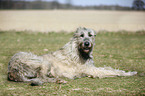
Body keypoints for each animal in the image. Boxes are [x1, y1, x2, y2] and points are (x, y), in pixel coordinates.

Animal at [7, 27, 137, 85]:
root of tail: (12, 70)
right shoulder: (92, 70)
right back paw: (59, 80)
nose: (86, 43)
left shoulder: (91, 68)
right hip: (42, 62)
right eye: (81, 35)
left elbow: (108, 68)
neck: (78, 50)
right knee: (41, 77)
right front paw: (129, 73)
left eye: (90, 35)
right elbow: (109, 71)